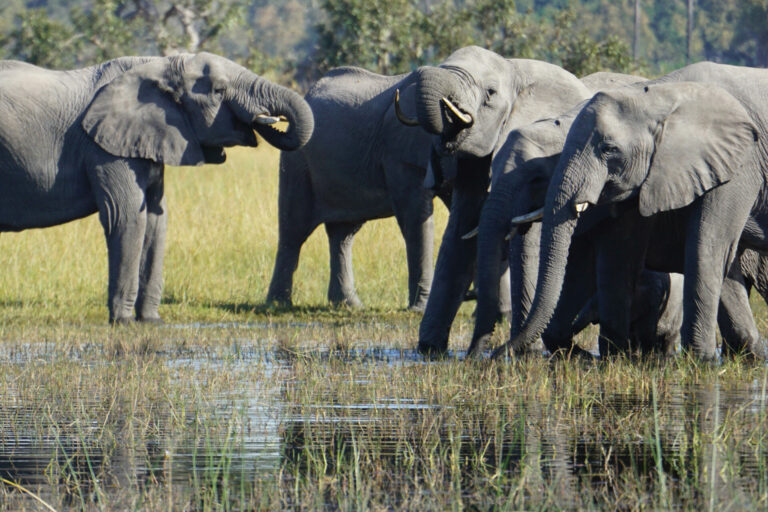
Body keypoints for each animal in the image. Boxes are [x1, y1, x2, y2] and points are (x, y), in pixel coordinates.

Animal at [0, 53, 316, 324]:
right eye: (219, 90)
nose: (268, 118)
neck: (157, 65)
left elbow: (155, 221)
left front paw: (152, 321)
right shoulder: (104, 148)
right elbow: (127, 217)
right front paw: (124, 322)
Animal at [498, 63, 768, 360]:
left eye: (608, 149)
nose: (498, 352)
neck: (663, 94)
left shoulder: (740, 164)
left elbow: (708, 246)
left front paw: (700, 360)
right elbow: (620, 253)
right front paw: (612, 357)